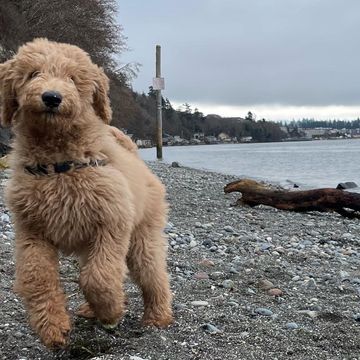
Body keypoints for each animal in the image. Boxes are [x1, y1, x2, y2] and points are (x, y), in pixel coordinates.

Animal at [0, 38, 173, 348]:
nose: (52, 97)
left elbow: (99, 276)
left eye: (72, 78)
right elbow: (38, 276)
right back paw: (91, 310)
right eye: (33, 73)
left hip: (142, 237)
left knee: (153, 275)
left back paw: (157, 316)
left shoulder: (111, 224)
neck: (59, 166)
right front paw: (52, 327)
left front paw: (111, 311)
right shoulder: (31, 230)